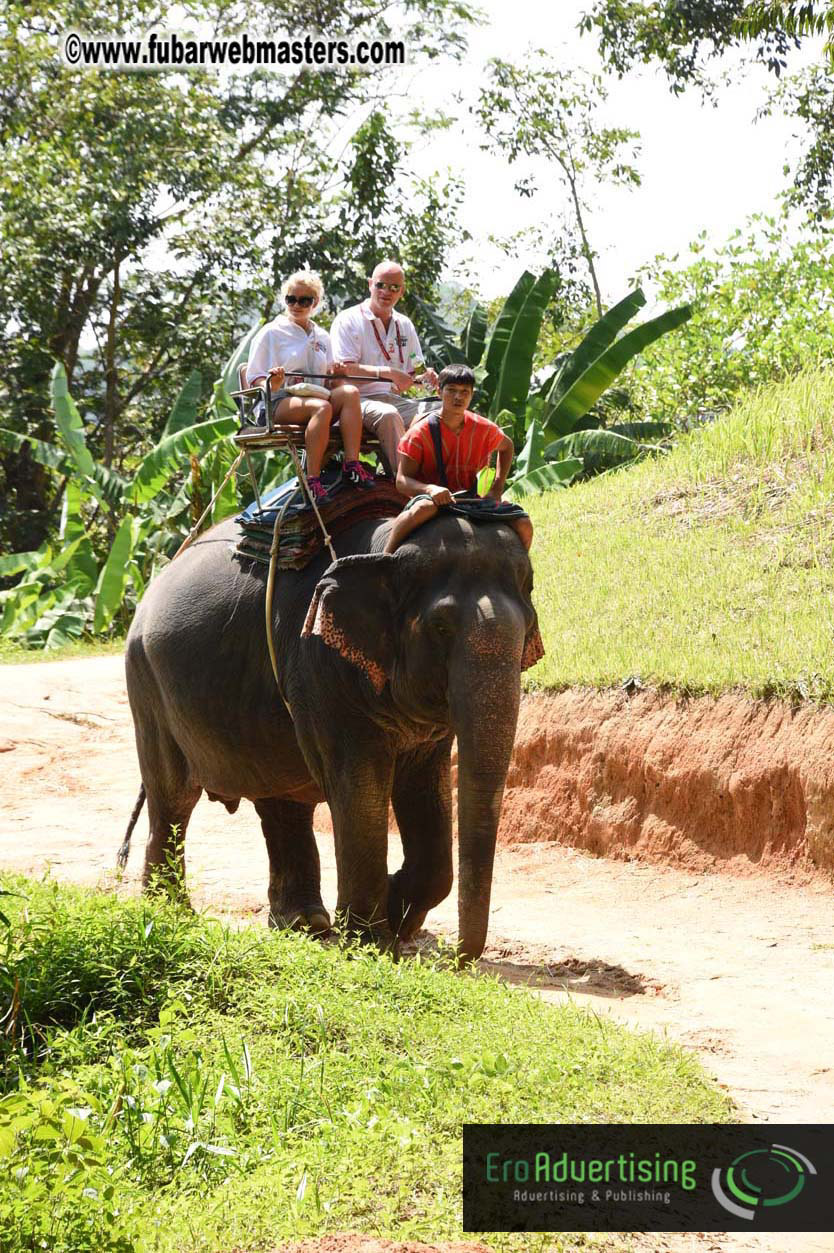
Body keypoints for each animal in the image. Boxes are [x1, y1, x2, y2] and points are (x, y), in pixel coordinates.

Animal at [121, 506, 544, 962]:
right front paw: (370, 944)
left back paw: (304, 924)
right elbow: (359, 786)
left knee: (281, 802)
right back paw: (170, 915)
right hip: (146, 685)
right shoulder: (318, 662)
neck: (386, 549)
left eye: (528, 626)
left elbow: (424, 787)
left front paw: (394, 918)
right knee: (173, 798)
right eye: (441, 627)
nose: (459, 959)